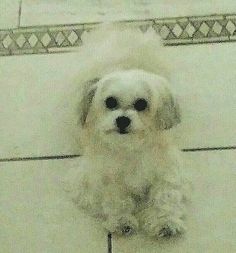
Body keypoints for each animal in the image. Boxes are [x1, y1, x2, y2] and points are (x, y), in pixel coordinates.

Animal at [65, 24, 190, 238]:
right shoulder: (96, 177)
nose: (123, 120)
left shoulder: (167, 169)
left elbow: (165, 194)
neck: (129, 148)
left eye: (141, 104)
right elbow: (115, 197)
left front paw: (164, 222)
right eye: (110, 102)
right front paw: (121, 221)